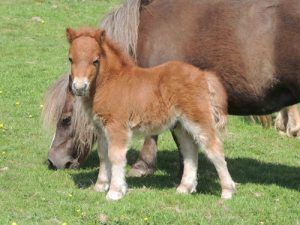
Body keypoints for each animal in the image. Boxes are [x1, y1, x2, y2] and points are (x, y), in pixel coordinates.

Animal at [65, 27, 234, 201]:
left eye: (96, 60)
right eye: (70, 59)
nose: (79, 87)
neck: (110, 82)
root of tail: (203, 75)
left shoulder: (117, 127)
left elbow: (115, 156)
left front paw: (115, 192)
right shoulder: (101, 127)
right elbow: (103, 155)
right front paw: (100, 185)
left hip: (198, 119)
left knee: (214, 148)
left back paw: (227, 191)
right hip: (181, 125)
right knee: (190, 151)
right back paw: (185, 187)